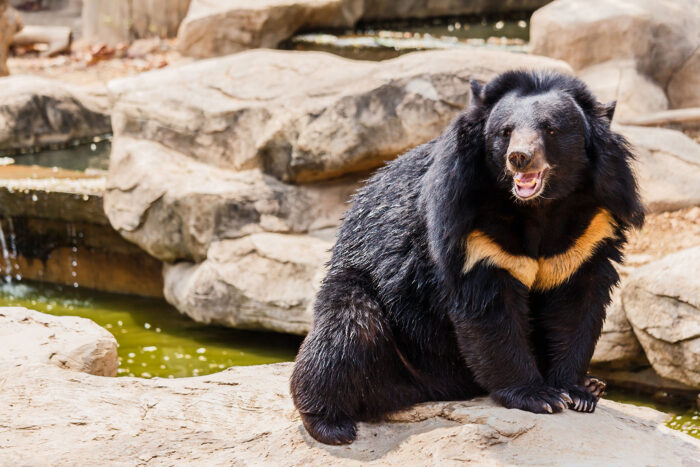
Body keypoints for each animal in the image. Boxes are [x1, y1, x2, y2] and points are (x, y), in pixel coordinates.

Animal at [290, 70, 644, 445]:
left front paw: (576, 391)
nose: (519, 157)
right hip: (374, 298)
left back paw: (595, 384)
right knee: (346, 330)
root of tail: (434, 389)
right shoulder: (472, 230)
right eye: (505, 132)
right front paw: (539, 396)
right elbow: (489, 310)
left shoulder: (590, 230)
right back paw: (331, 424)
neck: (538, 207)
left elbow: (576, 307)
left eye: (550, 129)